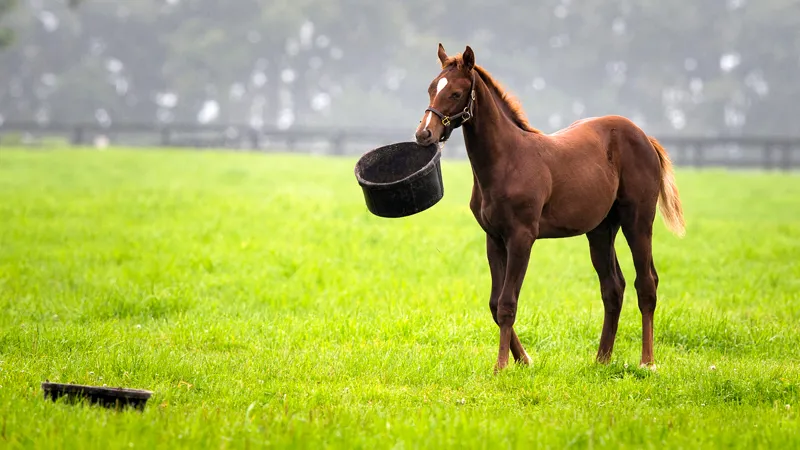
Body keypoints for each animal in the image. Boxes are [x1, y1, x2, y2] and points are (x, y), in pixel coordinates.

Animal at [414, 44, 685, 373]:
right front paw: (524, 360)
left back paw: (647, 362)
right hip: (601, 230)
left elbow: (507, 303)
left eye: (455, 93)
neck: (507, 160)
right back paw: (602, 359)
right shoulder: (494, 239)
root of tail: (644, 137)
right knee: (613, 287)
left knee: (646, 284)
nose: (424, 134)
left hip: (638, 221)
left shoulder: (522, 237)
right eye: (431, 88)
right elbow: (494, 303)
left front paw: (502, 366)